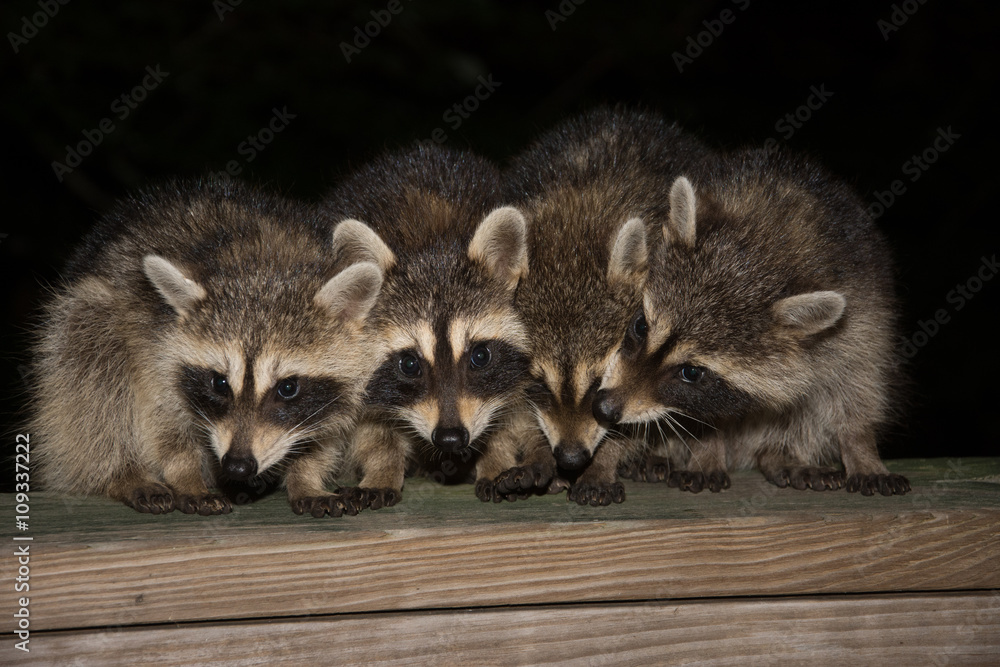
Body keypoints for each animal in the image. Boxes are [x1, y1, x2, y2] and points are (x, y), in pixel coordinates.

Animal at [31, 180, 383, 516]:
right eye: (219, 382)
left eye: (288, 387)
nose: (237, 466)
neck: (264, 267)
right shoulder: (153, 345)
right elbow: (164, 424)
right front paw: (186, 476)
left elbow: (326, 436)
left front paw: (306, 477)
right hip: (91, 314)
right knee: (94, 371)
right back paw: (122, 473)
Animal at [320, 144, 543, 507]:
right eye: (409, 364)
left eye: (480, 356)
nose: (451, 438)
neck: (431, 239)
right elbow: (371, 425)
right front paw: (383, 467)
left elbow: (509, 410)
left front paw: (496, 457)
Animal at [502, 107, 709, 506]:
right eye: (539, 384)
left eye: (599, 383)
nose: (570, 458)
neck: (574, 223)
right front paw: (537, 450)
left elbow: (632, 414)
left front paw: (604, 462)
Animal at [593, 148, 911, 496]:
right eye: (641, 327)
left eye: (691, 372)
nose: (604, 408)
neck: (768, 242)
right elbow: (705, 417)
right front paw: (706, 451)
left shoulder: (864, 308)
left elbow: (857, 383)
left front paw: (862, 448)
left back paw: (780, 454)